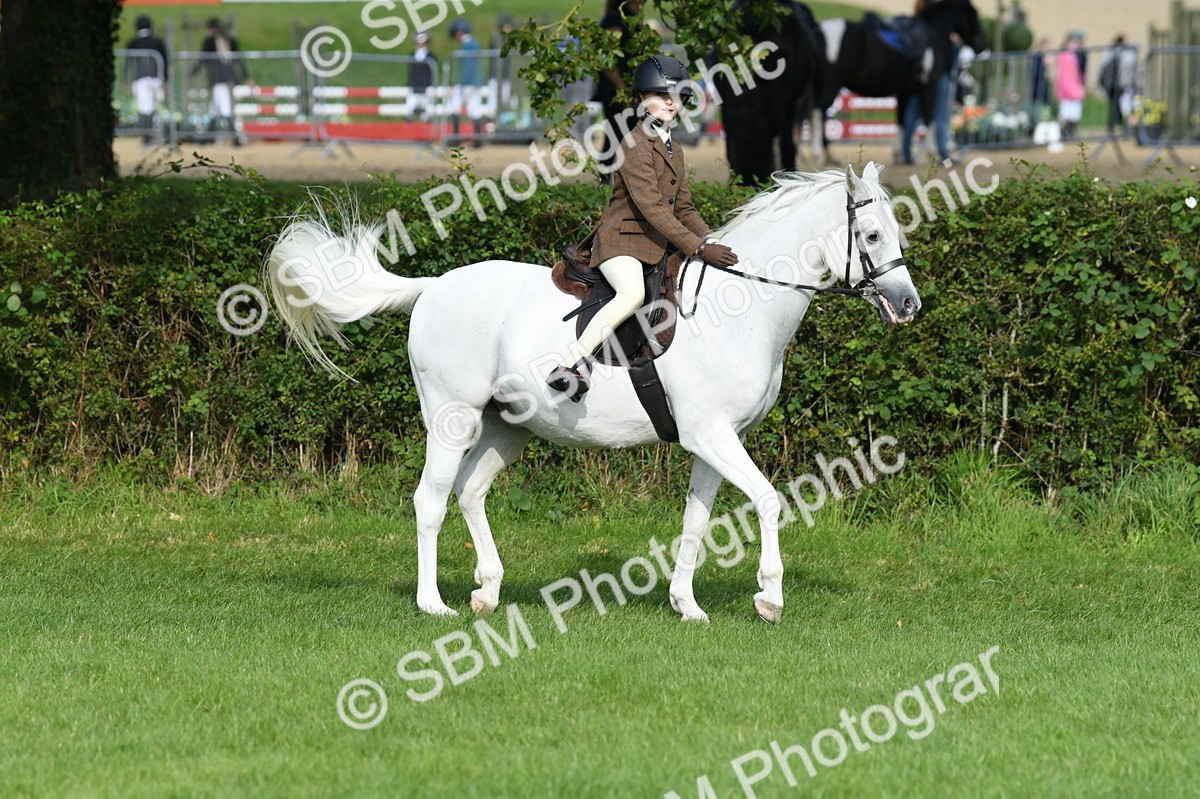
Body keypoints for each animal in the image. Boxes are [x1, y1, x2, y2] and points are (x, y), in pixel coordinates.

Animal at [264, 163, 921, 624]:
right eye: (869, 234)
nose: (909, 304)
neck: (742, 307)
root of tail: (433, 287)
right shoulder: (711, 434)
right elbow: (766, 500)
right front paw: (770, 599)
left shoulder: (715, 440)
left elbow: (696, 519)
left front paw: (687, 606)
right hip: (452, 417)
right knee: (430, 500)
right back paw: (434, 604)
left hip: (508, 426)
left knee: (470, 492)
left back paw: (487, 590)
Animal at [813, 0, 987, 163]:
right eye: (974, 12)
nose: (981, 44)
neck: (931, 34)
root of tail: (818, 30)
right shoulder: (930, 86)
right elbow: (929, 118)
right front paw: (932, 152)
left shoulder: (905, 92)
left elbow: (901, 121)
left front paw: (899, 155)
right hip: (831, 86)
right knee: (818, 113)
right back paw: (819, 154)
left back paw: (828, 155)